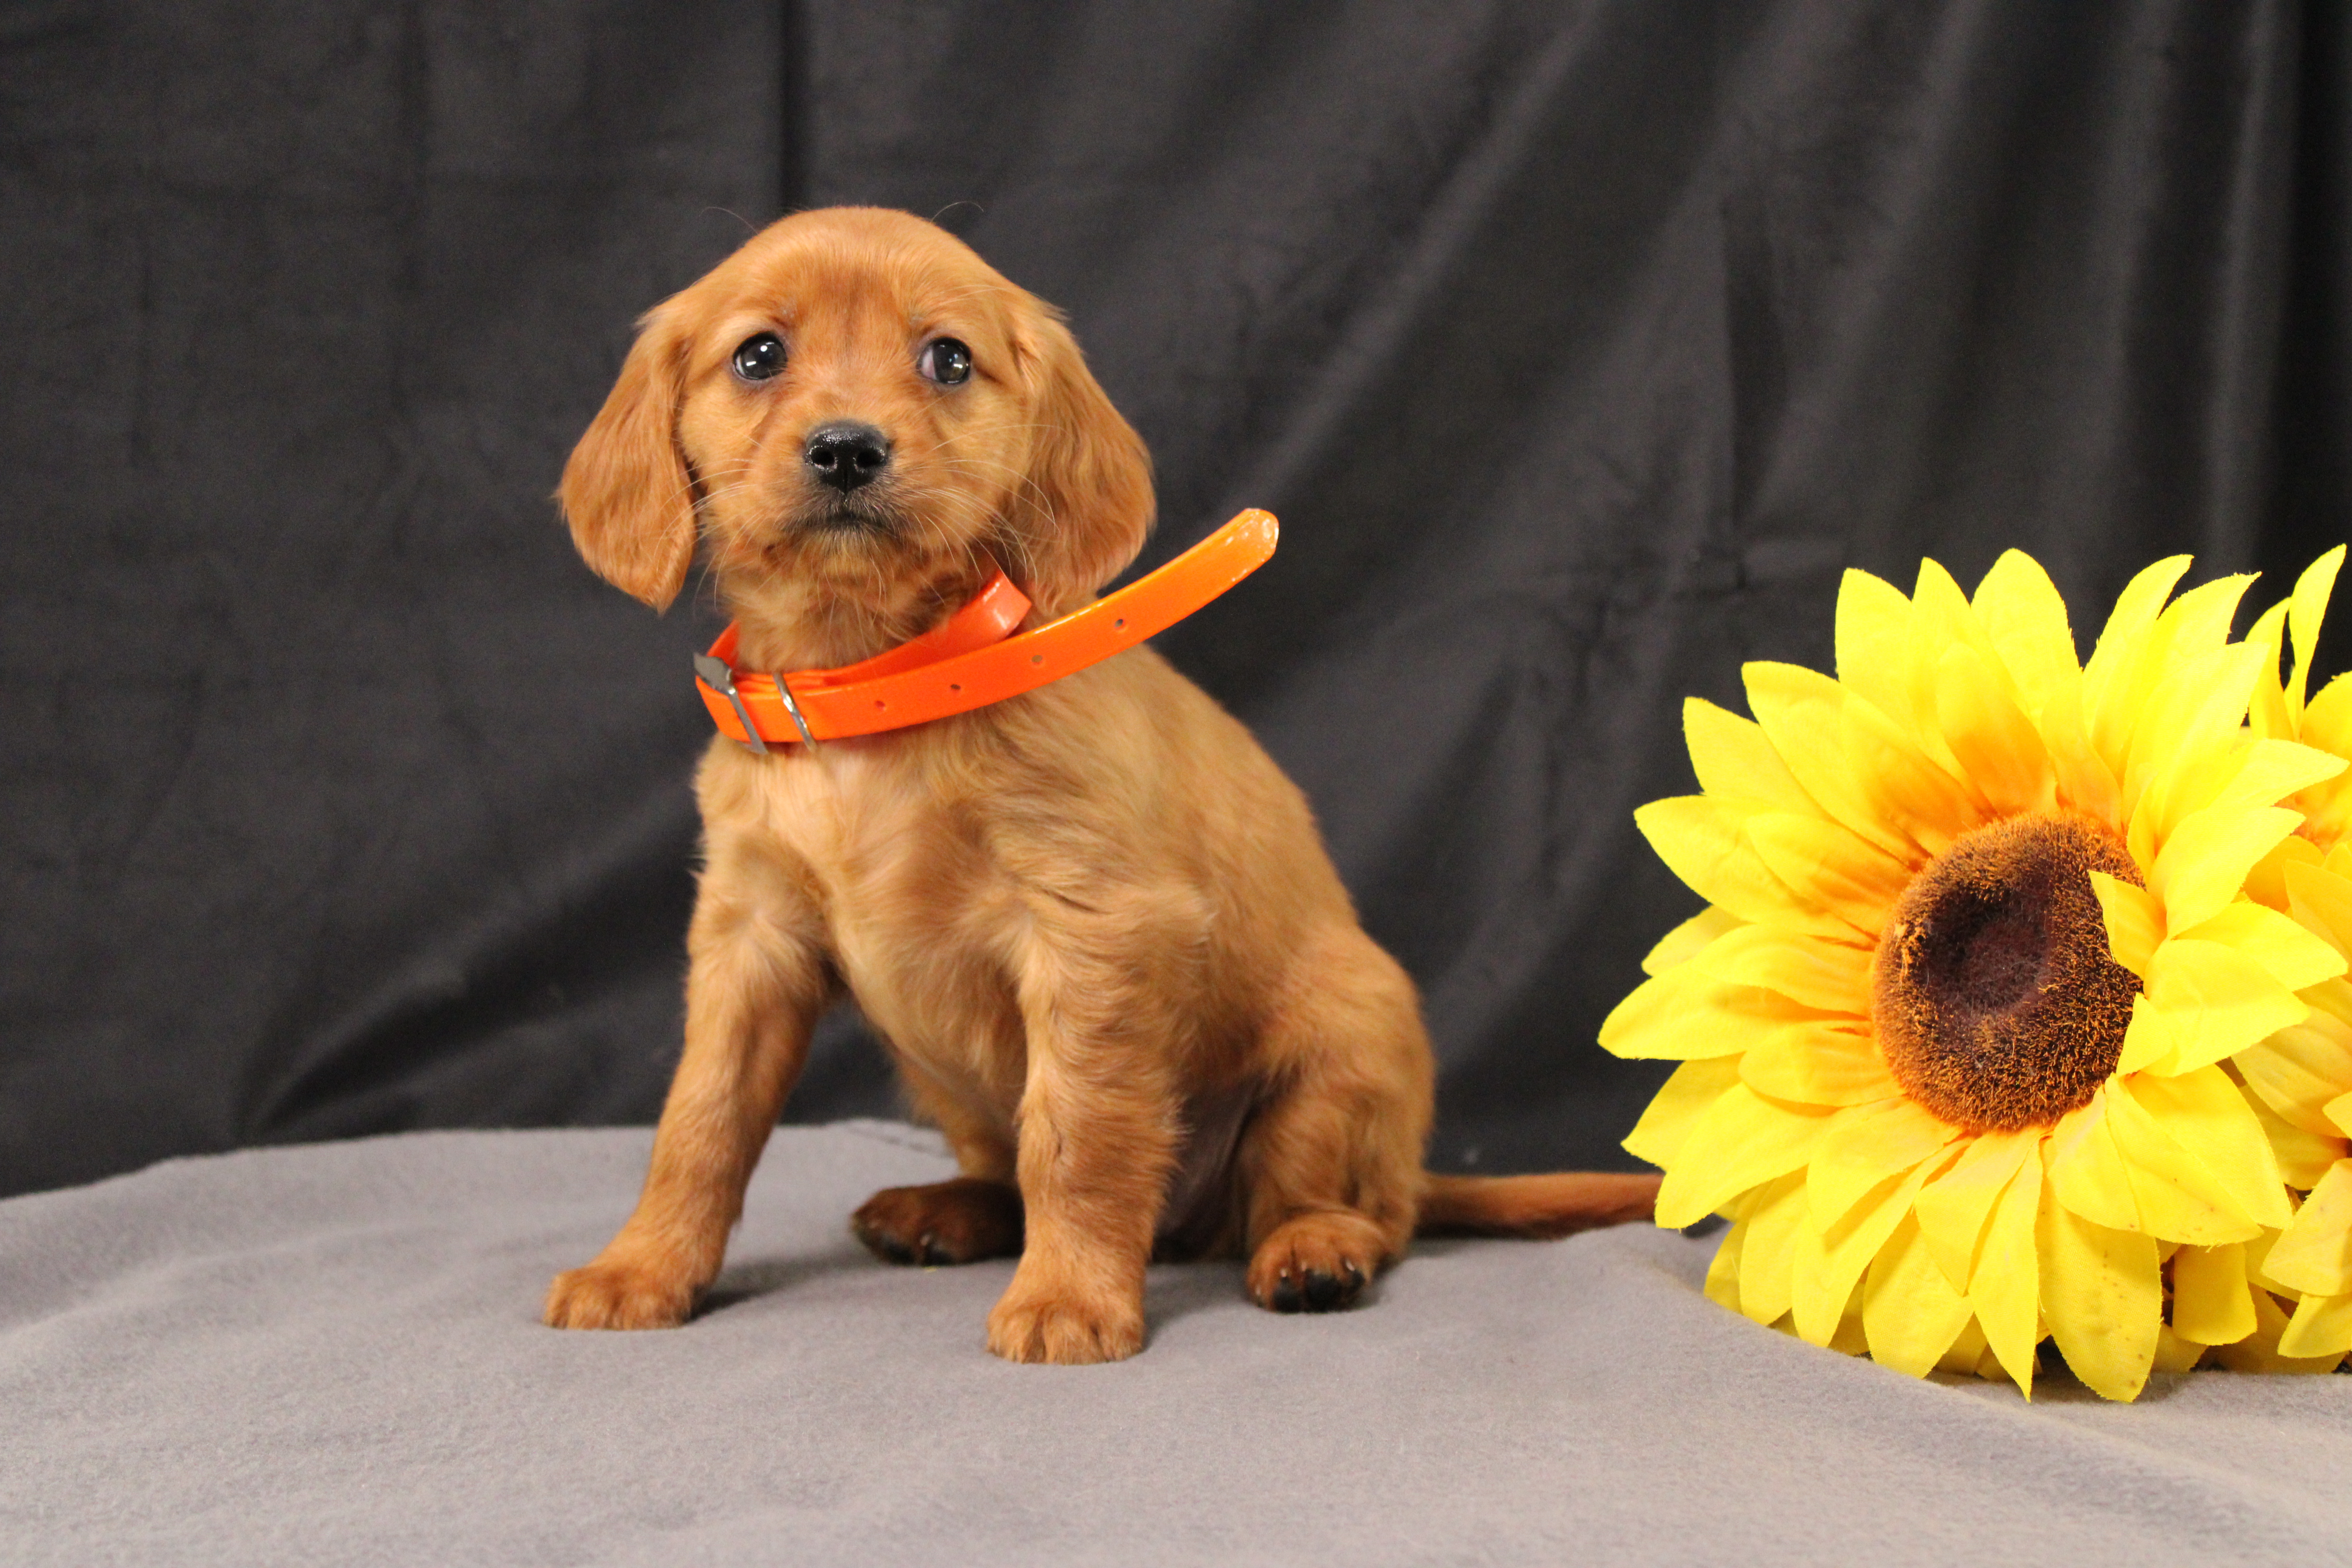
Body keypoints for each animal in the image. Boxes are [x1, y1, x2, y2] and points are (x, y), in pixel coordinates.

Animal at [543, 205, 1665, 1363]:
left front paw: (1070, 1299)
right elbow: (700, 1122)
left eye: (949, 359)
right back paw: (944, 1211)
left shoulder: (1096, 928)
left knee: (1354, 1208)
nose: (847, 448)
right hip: (943, 1081)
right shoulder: (750, 940)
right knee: (1006, 1172)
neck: (876, 692)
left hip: (1346, 1042)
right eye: (759, 355)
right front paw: (642, 1269)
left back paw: (1314, 1250)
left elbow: (1077, 1131)